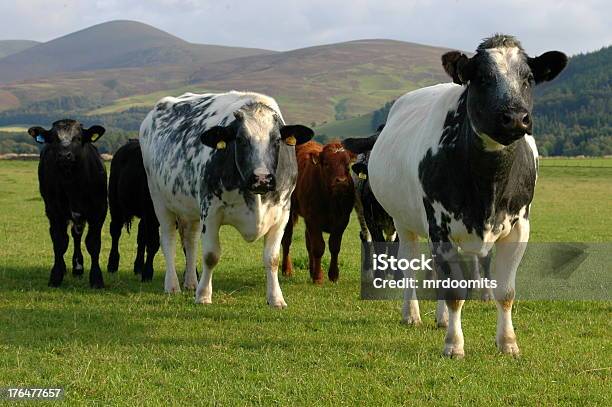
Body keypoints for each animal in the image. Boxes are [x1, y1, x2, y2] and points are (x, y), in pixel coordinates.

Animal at [28, 119, 107, 288]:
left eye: (78, 138)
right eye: (53, 139)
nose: (65, 156)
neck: (72, 184)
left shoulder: (99, 211)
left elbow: (93, 243)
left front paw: (96, 278)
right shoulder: (54, 212)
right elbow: (59, 242)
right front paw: (56, 275)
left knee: (77, 235)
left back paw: (78, 267)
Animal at [107, 139, 160, 280]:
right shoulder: (151, 213)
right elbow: (153, 243)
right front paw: (148, 273)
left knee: (141, 234)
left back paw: (138, 267)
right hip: (115, 204)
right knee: (115, 231)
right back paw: (112, 264)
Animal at [138, 91, 310, 310]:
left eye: (277, 140)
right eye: (240, 139)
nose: (262, 178)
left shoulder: (282, 214)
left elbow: (272, 258)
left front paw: (276, 298)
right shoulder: (210, 211)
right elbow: (211, 255)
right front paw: (204, 295)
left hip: (191, 209)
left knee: (190, 240)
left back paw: (191, 283)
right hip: (159, 198)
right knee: (168, 239)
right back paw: (173, 285)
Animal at [280, 140, 356, 284]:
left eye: (347, 165)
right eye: (326, 163)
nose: (341, 181)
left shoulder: (342, 220)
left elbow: (334, 246)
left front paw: (333, 275)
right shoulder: (313, 219)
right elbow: (318, 247)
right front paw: (318, 277)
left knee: (307, 243)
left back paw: (311, 270)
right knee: (287, 240)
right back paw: (287, 270)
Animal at [366, 34, 568, 356]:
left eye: (528, 78)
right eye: (482, 77)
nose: (515, 118)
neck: (489, 183)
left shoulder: (520, 227)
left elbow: (505, 291)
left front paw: (508, 342)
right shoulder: (439, 226)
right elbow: (454, 291)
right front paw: (454, 344)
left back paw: (440, 318)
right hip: (403, 221)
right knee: (409, 264)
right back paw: (412, 314)